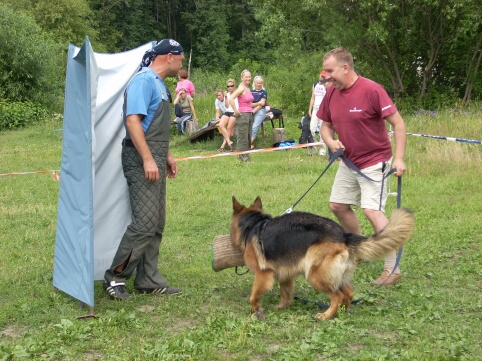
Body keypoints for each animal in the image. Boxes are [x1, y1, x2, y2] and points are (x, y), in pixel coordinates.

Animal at [230, 195, 414, 320]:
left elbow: (254, 295)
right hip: (335, 276)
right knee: (348, 294)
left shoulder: (263, 274)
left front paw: (258, 311)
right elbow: (285, 293)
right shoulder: (286, 274)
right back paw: (342, 311)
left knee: (337, 296)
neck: (254, 224)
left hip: (315, 276)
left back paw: (326, 315)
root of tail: (344, 235)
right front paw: (282, 306)